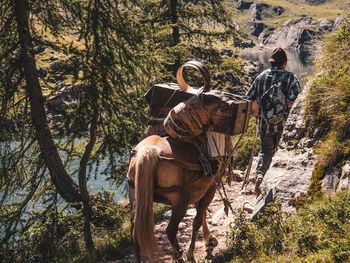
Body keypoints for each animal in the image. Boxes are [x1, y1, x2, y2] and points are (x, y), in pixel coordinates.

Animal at [127, 89, 250, 262]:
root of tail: (150, 151)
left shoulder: (201, 190)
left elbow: (201, 214)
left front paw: (208, 238)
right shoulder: (209, 189)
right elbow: (198, 218)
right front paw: (192, 252)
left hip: (136, 199)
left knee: (135, 234)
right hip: (180, 202)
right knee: (171, 230)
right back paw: (180, 257)